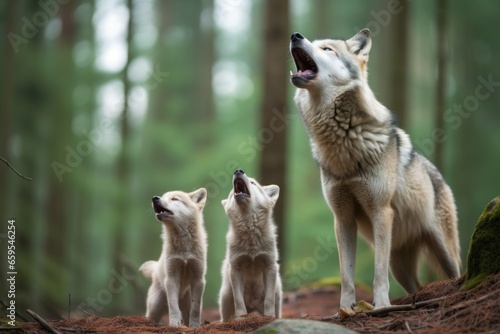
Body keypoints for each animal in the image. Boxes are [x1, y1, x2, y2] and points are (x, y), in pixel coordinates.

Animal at [139, 188, 207, 326]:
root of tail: (154, 272)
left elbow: (196, 308)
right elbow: (173, 305)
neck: (184, 247)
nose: (155, 198)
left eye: (175, 199)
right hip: (155, 305)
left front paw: (195, 326)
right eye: (163, 196)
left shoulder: (198, 278)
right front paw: (175, 324)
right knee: (150, 316)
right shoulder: (171, 277)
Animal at [218, 170, 284, 320]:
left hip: (278, 293)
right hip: (226, 296)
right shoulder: (235, 268)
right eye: (231, 192)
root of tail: (253, 305)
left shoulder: (270, 266)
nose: (238, 171)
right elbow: (238, 300)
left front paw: (269, 316)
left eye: (253, 183)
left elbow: (269, 300)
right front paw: (241, 317)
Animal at [290, 30, 460, 310]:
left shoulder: (381, 212)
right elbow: (346, 275)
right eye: (312, 43)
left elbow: (378, 272)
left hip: (444, 252)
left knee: (457, 273)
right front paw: (345, 310)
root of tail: (440, 177)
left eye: (327, 49)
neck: (344, 140)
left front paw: (380, 306)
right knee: (416, 285)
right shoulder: (343, 220)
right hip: (399, 265)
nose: (295, 35)